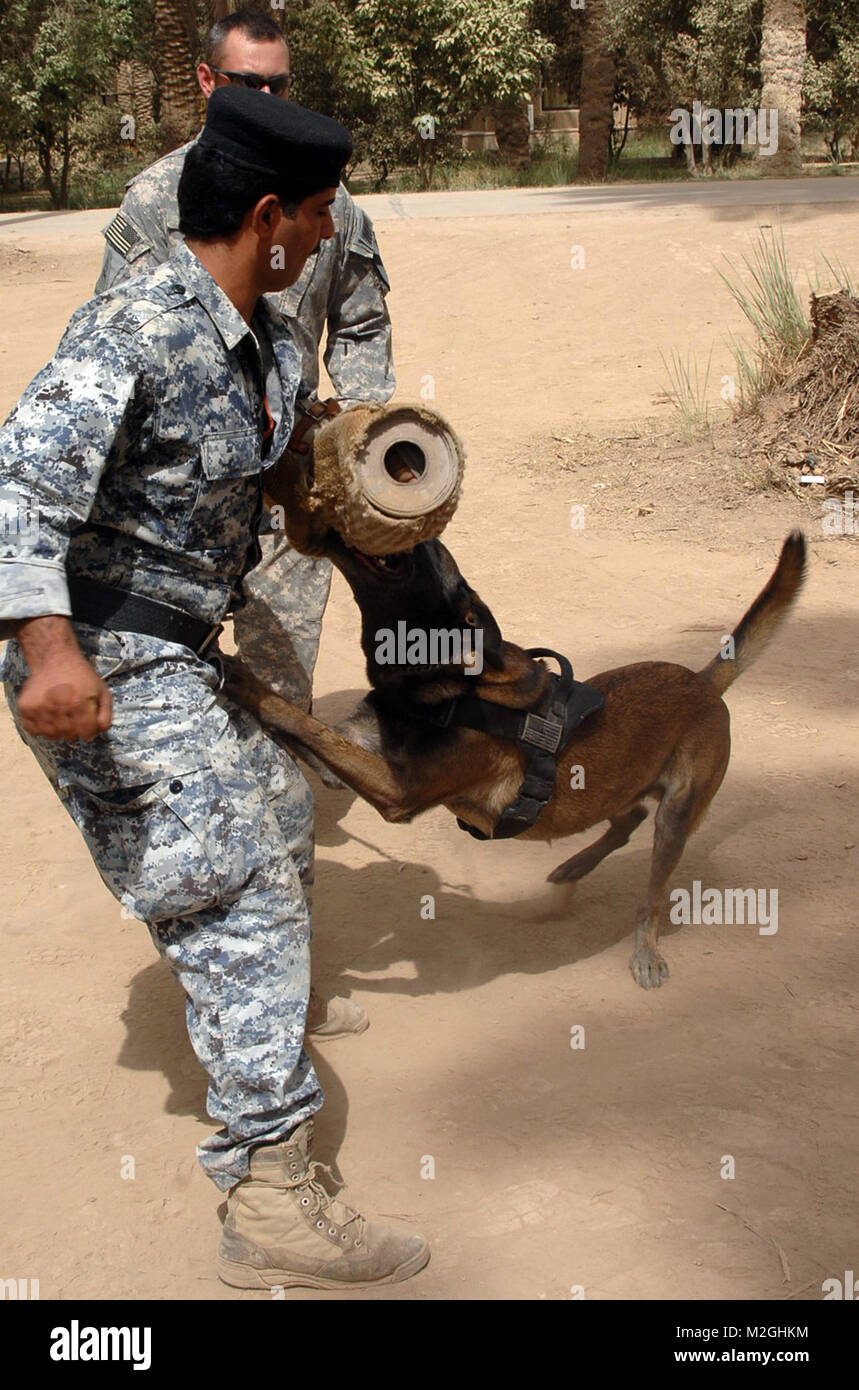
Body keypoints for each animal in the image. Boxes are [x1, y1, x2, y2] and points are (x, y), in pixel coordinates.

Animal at [225, 522, 800, 989]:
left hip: (679, 812)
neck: (449, 684)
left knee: (652, 890)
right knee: (629, 817)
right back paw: (575, 865)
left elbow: (298, 719)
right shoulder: (353, 755)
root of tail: (704, 683)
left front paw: (238, 676)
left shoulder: (398, 791)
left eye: (445, 566)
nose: (426, 530)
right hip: (614, 787)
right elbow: (303, 727)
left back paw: (645, 949)